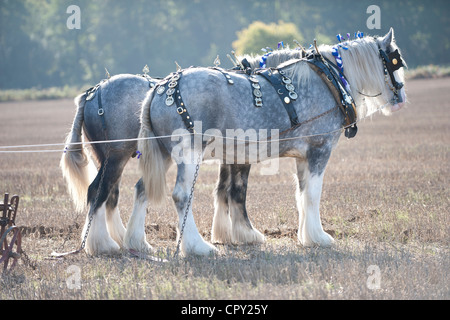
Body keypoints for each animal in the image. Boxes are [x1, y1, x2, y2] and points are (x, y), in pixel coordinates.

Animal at [139, 28, 406, 256]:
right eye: (396, 62)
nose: (402, 99)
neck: (328, 78)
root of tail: (162, 87)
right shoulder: (319, 149)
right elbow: (312, 194)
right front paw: (319, 237)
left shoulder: (298, 156)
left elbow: (300, 194)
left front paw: (304, 236)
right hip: (189, 153)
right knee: (182, 196)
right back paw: (197, 247)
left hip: (163, 154)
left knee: (142, 188)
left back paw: (137, 242)